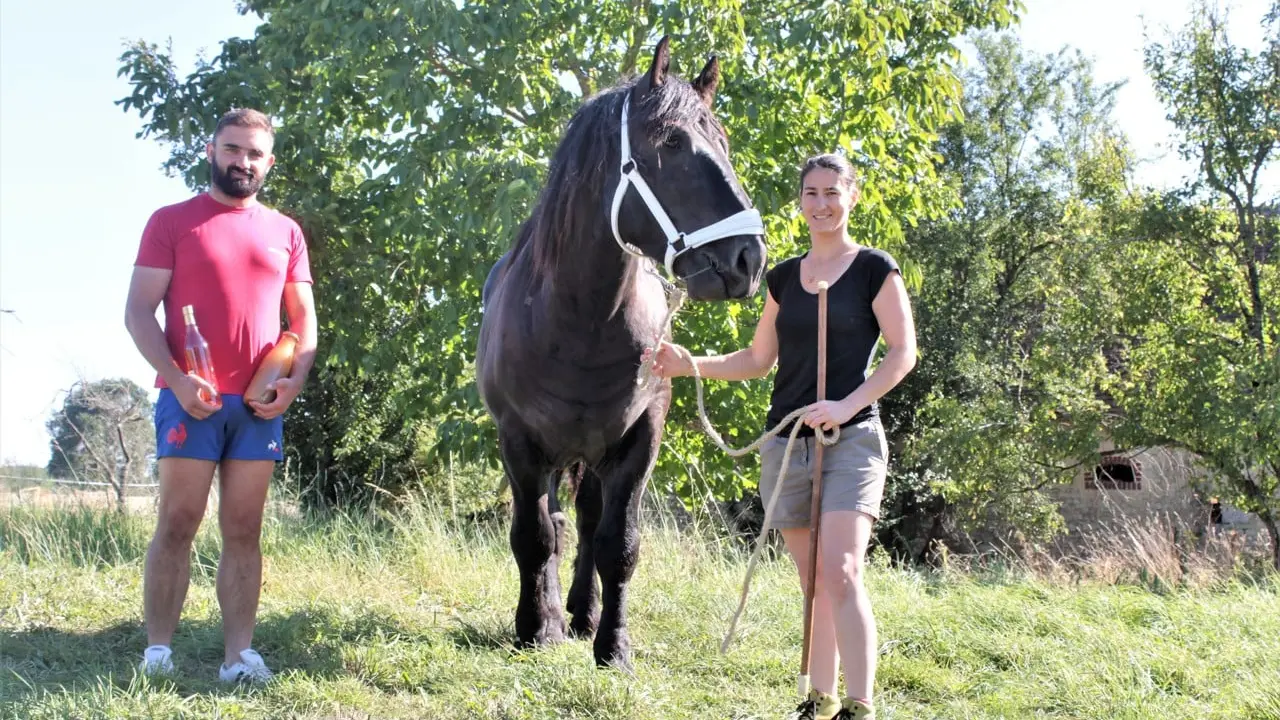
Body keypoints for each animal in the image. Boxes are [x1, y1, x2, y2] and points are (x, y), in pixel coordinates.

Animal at [476, 37, 762, 666]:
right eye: (673, 143)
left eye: (725, 141)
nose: (748, 258)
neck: (581, 322)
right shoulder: (519, 443)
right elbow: (534, 536)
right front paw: (535, 628)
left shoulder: (640, 439)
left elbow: (619, 544)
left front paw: (613, 644)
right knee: (556, 525)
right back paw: (555, 614)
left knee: (585, 523)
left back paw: (582, 613)